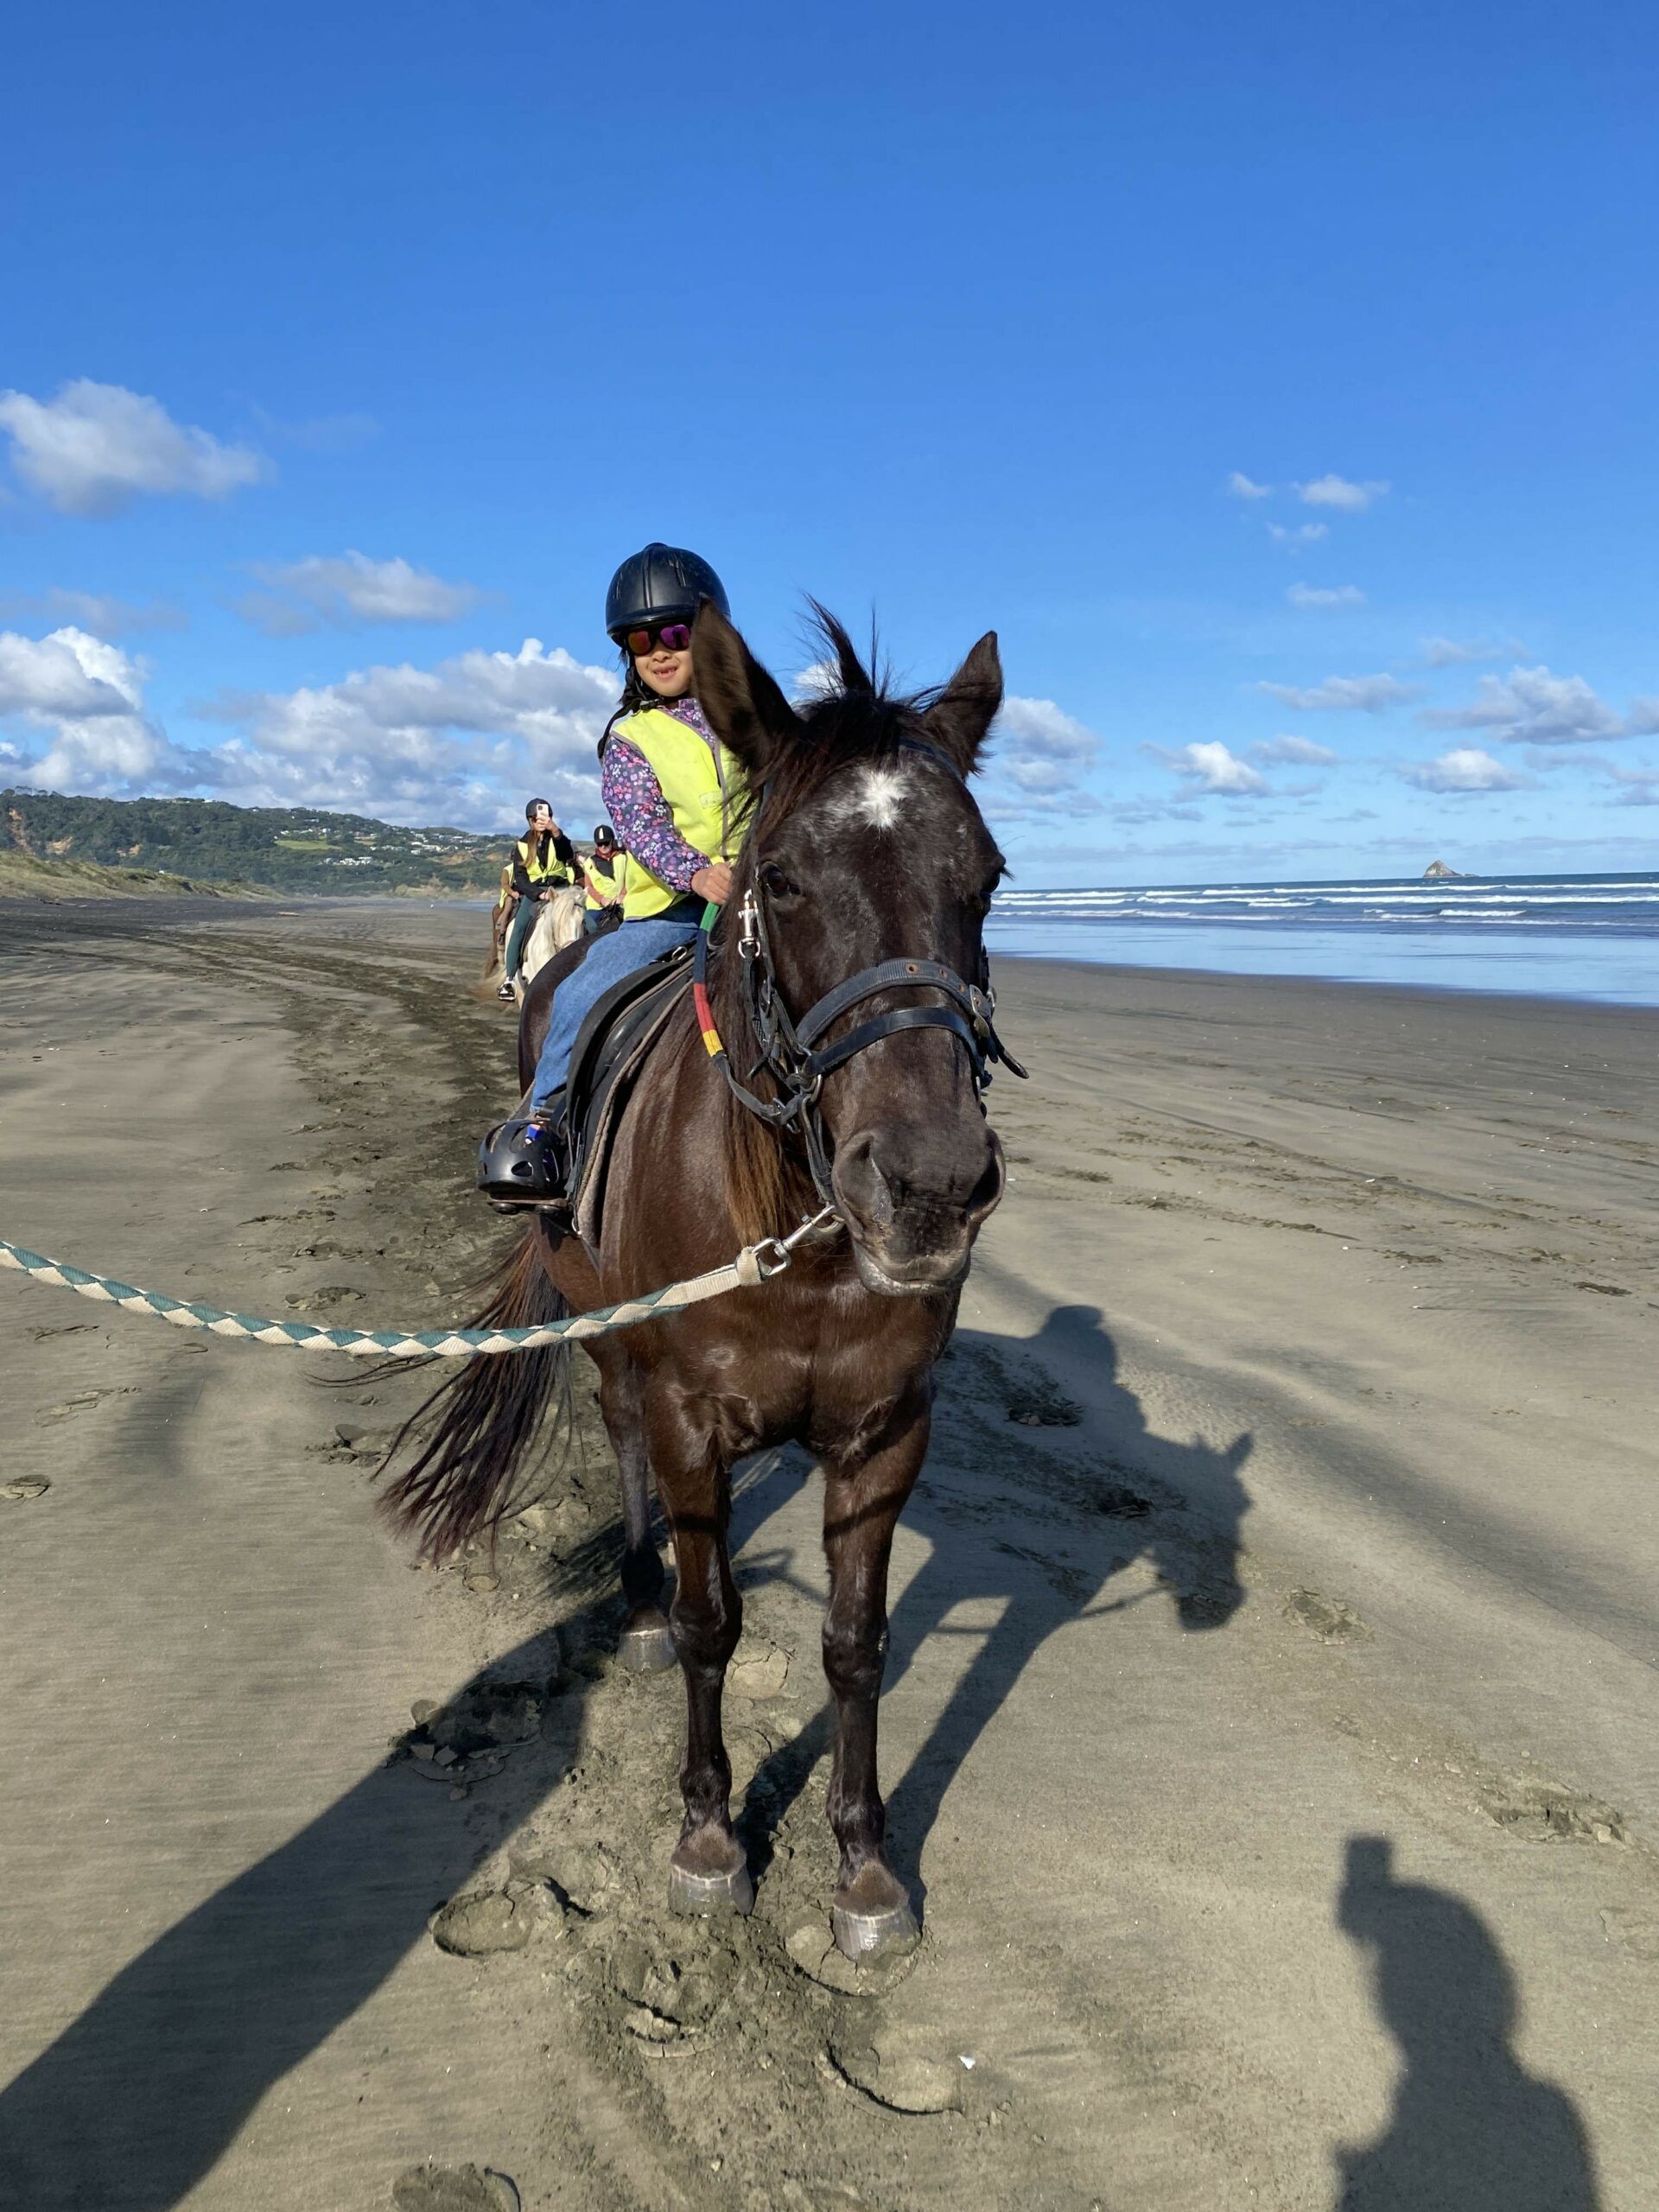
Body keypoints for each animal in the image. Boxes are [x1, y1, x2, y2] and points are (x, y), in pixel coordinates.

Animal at [383, 602, 1013, 1961]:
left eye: (986, 875)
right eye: (778, 877)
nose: (930, 1188)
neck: (797, 1238)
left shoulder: (886, 1434)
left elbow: (856, 1644)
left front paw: (864, 1866)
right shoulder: (689, 1417)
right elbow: (711, 1618)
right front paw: (712, 1837)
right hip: (607, 1328)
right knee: (619, 1431)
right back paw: (632, 1601)